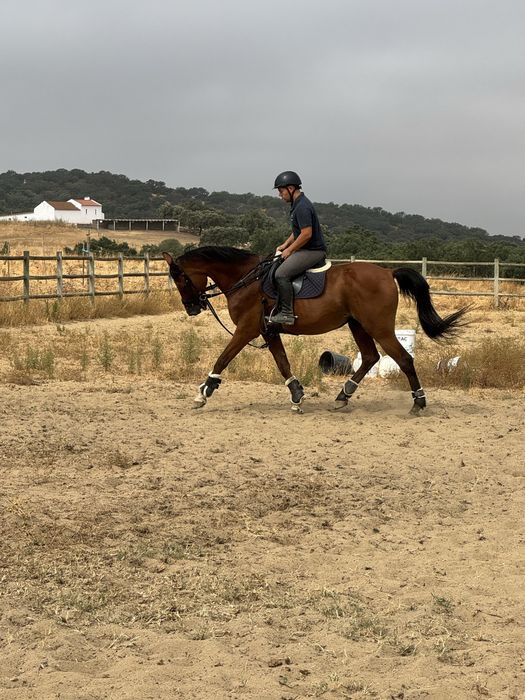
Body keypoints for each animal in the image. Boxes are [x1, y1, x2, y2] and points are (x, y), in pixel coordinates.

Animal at [162, 246, 468, 413]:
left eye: (182, 279)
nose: (192, 308)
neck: (246, 280)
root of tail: (387, 272)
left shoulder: (246, 330)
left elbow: (223, 359)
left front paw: (203, 392)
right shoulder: (268, 332)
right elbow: (283, 363)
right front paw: (297, 395)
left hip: (378, 327)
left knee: (403, 359)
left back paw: (418, 403)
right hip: (358, 325)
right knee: (370, 357)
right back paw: (343, 396)